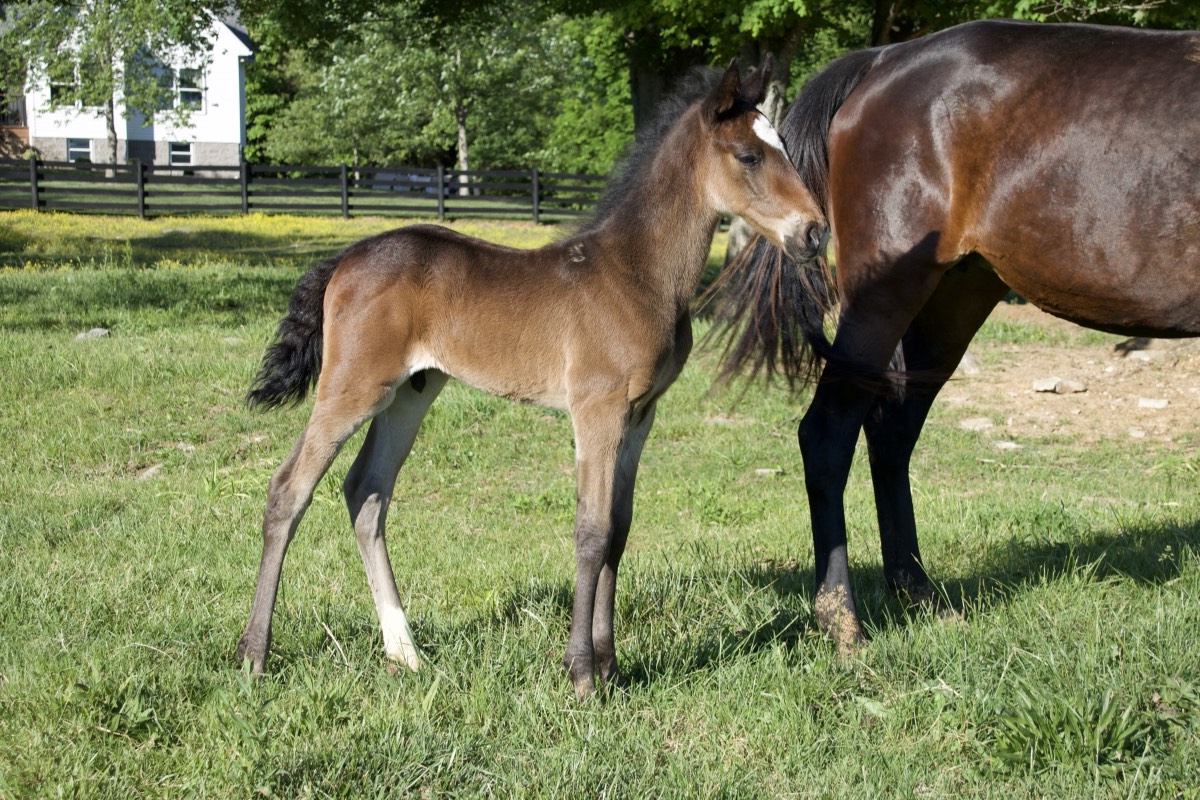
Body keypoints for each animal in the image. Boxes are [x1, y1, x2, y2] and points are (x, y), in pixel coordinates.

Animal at [234, 56, 827, 698]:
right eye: (749, 155)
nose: (815, 232)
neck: (636, 272)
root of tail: (345, 257)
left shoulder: (641, 414)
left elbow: (619, 529)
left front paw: (611, 666)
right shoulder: (597, 409)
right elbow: (591, 531)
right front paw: (582, 674)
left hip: (410, 392)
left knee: (366, 491)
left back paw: (406, 653)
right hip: (352, 387)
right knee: (288, 490)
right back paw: (254, 655)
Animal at [716, 19, 1200, 654]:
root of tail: (882, 60)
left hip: (955, 298)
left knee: (891, 432)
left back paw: (916, 590)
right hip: (886, 297)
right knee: (828, 433)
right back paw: (842, 620)